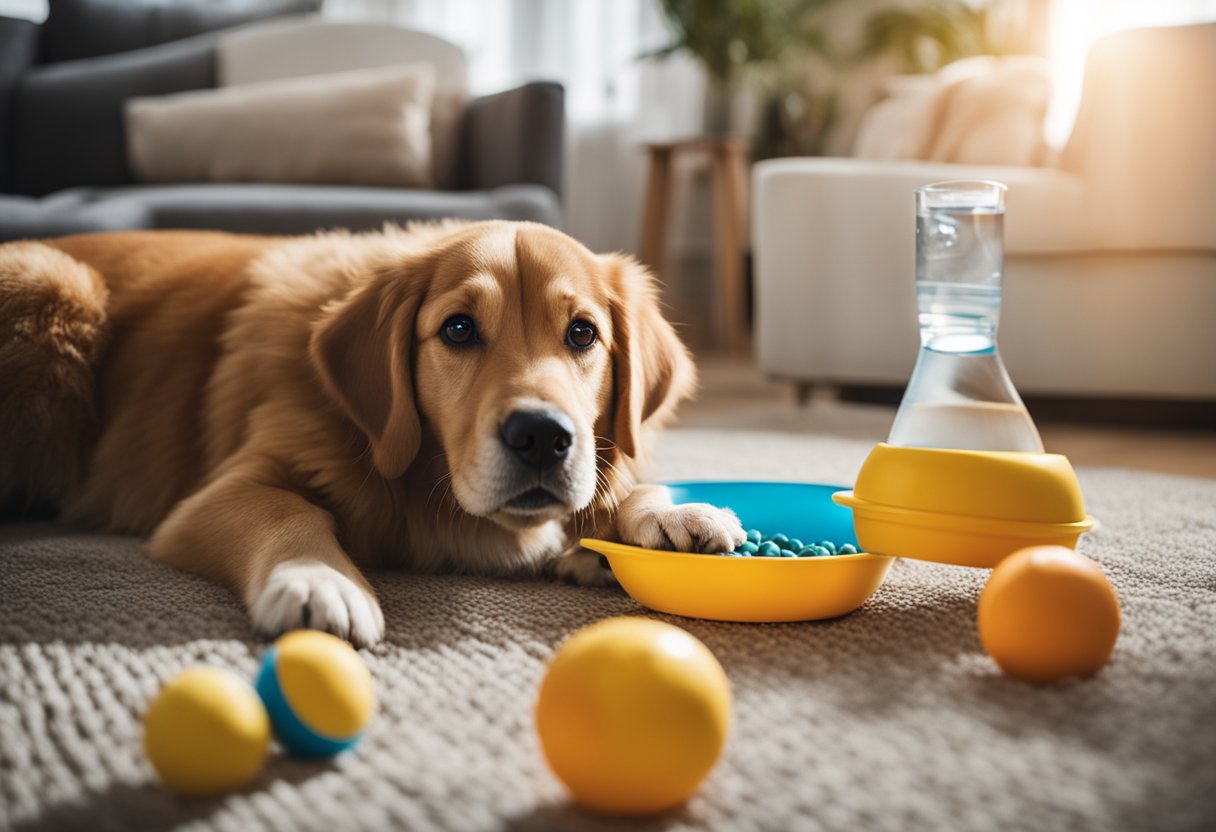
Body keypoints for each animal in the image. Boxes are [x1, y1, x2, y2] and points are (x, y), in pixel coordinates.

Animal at [0, 218, 744, 642]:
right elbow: (291, 510)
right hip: (51, 282)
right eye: (458, 329)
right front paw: (318, 579)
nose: (541, 437)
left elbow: (616, 487)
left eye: (583, 333)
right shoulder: (213, 497)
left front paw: (670, 514)